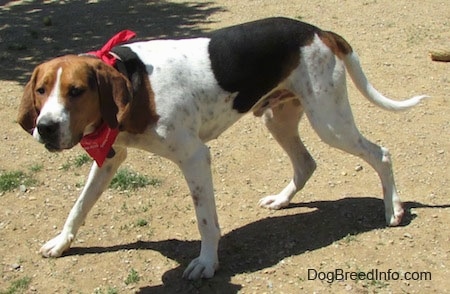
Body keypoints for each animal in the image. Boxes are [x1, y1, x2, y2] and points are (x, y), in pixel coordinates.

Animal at [16, 17, 426, 280]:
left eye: (76, 91)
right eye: (41, 90)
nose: (45, 128)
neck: (135, 81)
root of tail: (318, 31)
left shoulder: (195, 157)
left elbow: (205, 220)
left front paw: (207, 263)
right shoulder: (110, 158)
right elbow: (79, 206)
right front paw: (62, 242)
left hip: (329, 122)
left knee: (381, 154)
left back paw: (393, 210)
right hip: (277, 118)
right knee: (306, 163)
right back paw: (282, 200)